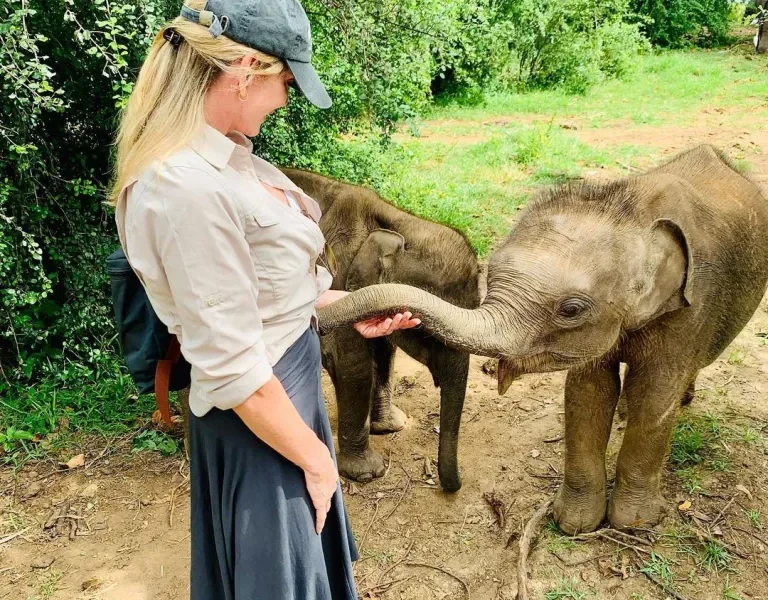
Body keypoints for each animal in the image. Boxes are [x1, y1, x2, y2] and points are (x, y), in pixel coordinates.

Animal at [280, 167, 480, 491]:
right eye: (430, 330)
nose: (454, 487)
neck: (397, 221)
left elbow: (385, 353)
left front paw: (390, 427)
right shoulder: (340, 275)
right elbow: (352, 365)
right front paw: (366, 473)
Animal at [316, 145, 768, 532]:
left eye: (571, 309)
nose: (455, 489)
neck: (631, 211)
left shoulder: (692, 305)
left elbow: (654, 394)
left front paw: (633, 525)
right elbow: (588, 391)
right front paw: (575, 525)